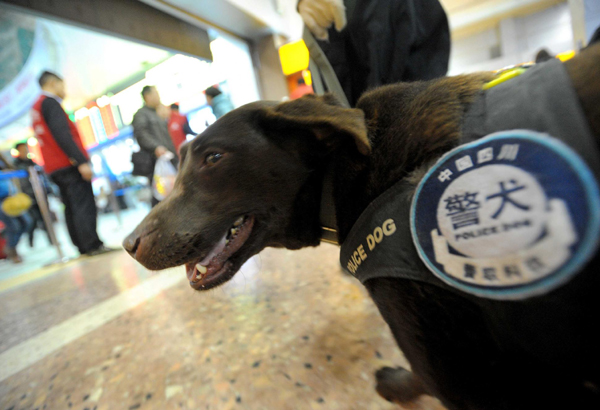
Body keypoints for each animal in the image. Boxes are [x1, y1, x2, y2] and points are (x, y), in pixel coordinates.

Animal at [123, 44, 600, 410]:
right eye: (180, 161)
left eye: (215, 158)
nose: (128, 243)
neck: (343, 172)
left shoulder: (465, 375)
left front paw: (398, 384)